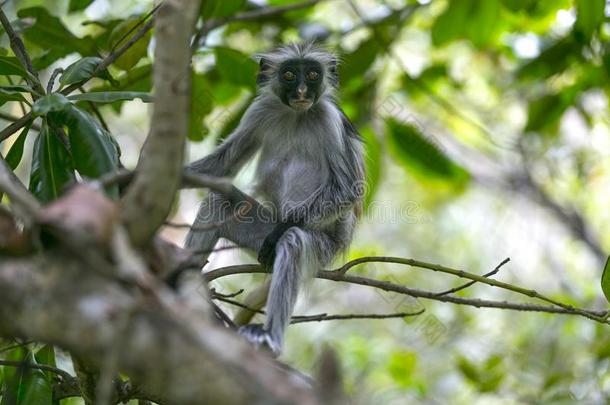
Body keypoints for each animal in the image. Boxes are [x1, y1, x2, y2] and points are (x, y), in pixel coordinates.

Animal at [183, 42, 364, 356]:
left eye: (313, 74)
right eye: (289, 74)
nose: (302, 91)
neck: (297, 115)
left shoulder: (329, 119)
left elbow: (347, 190)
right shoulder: (259, 110)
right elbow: (222, 165)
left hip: (324, 247)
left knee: (293, 241)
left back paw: (270, 336)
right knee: (218, 202)